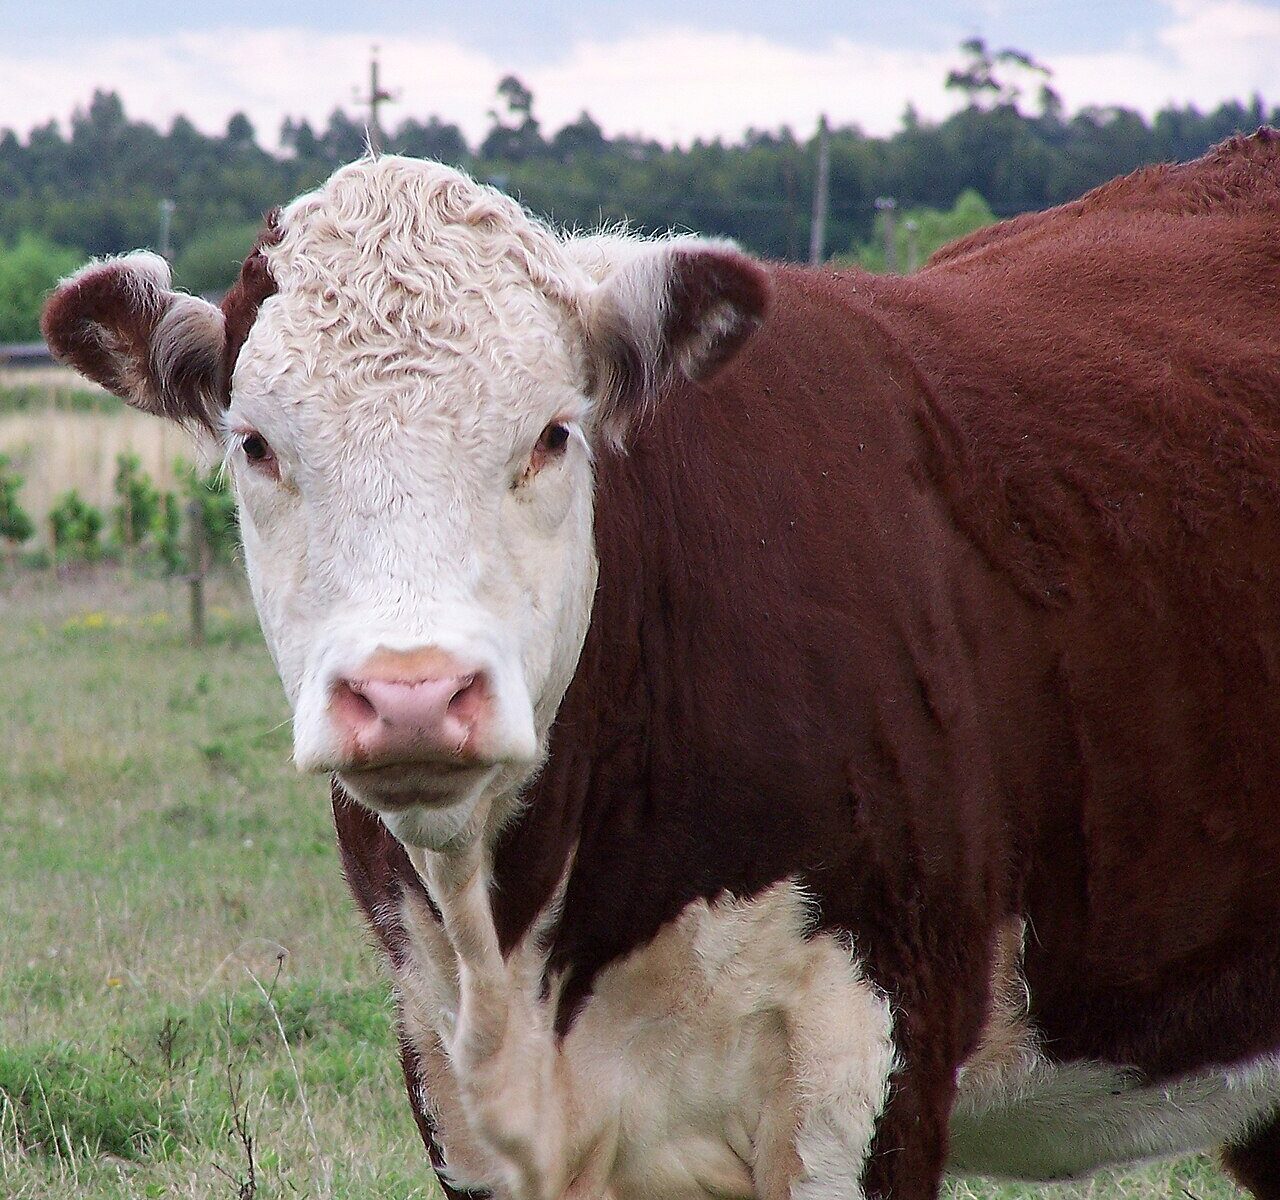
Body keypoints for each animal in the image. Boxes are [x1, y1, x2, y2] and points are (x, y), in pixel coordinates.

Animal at [41, 129, 1280, 1200]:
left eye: (552, 433)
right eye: (255, 443)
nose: (411, 695)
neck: (523, 943)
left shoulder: (870, 1049)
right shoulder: (446, 1071)